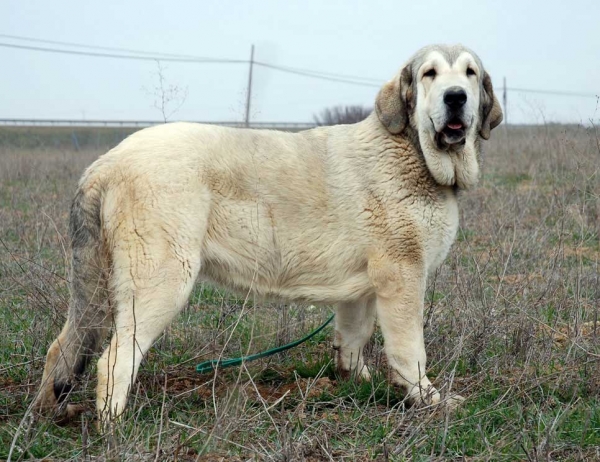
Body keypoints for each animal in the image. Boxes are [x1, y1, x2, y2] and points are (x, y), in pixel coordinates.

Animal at [32, 43, 502, 426]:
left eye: (470, 73)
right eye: (430, 75)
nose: (456, 97)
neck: (412, 151)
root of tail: (106, 162)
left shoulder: (365, 288)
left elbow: (352, 339)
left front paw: (357, 384)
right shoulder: (402, 276)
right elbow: (409, 350)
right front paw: (427, 399)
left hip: (100, 285)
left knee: (62, 347)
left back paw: (50, 412)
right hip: (161, 280)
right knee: (114, 359)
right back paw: (115, 428)